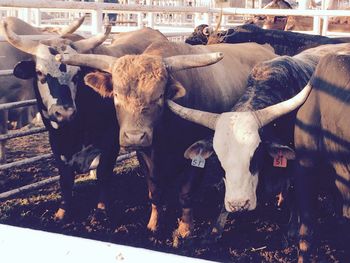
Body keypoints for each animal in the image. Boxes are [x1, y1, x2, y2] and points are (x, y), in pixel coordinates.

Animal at [1, 16, 168, 222]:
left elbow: (103, 173)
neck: (75, 131)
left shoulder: (111, 142)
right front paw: (63, 211)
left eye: (77, 74)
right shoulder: (56, 143)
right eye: (40, 73)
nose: (64, 113)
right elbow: (65, 178)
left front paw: (102, 207)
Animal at [56, 40, 278, 241]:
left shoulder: (195, 160)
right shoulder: (145, 156)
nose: (134, 136)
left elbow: (186, 194)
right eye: (116, 95)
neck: (164, 138)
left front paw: (185, 229)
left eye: (159, 96)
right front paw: (154, 225)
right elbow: (154, 193)